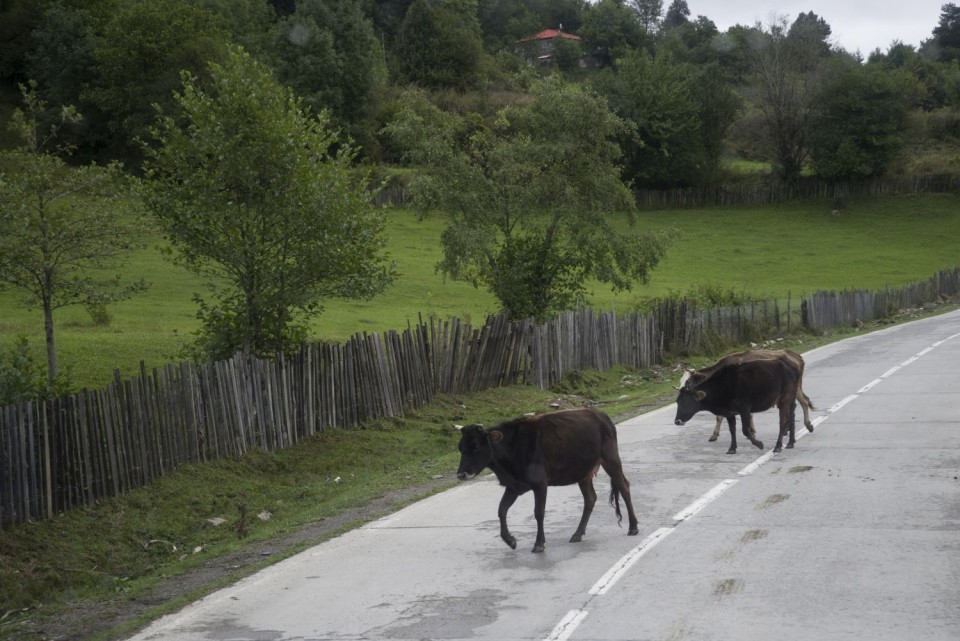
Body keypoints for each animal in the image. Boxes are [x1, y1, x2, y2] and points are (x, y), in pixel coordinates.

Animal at [456, 408, 640, 552]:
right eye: (460, 447)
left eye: (476, 446)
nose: (461, 474)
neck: (512, 449)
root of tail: (601, 415)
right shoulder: (514, 486)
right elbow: (501, 510)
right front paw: (510, 540)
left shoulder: (540, 484)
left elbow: (538, 512)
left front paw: (539, 544)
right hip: (583, 471)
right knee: (590, 498)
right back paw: (577, 533)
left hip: (611, 459)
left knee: (624, 487)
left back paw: (633, 527)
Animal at [684, 348, 816, 442]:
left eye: (689, 382)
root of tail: (796, 356)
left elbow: (722, 416)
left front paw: (715, 435)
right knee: (802, 401)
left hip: (793, 388)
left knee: (804, 401)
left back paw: (807, 425)